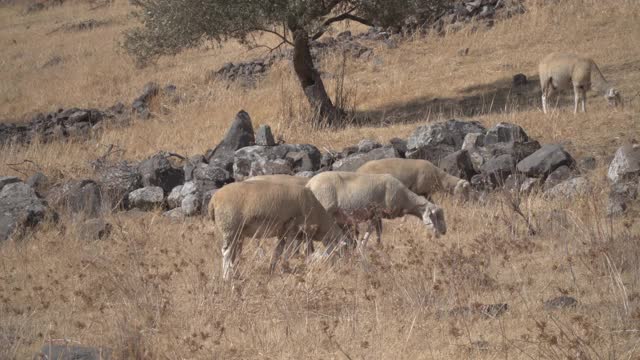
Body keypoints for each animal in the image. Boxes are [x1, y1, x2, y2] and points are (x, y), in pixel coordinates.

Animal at [209, 181, 350, 280]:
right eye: (343, 249)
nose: (343, 269)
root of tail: (213, 200)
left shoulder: (282, 233)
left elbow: (277, 252)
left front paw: (271, 271)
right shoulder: (293, 229)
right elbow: (287, 252)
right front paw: (286, 269)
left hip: (236, 233)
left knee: (232, 254)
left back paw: (236, 275)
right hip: (230, 228)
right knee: (226, 253)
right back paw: (227, 278)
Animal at [304, 172, 444, 248]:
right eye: (436, 216)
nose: (442, 234)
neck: (405, 198)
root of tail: (309, 184)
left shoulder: (375, 215)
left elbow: (378, 232)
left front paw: (376, 245)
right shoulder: (377, 212)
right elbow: (373, 231)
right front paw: (364, 246)